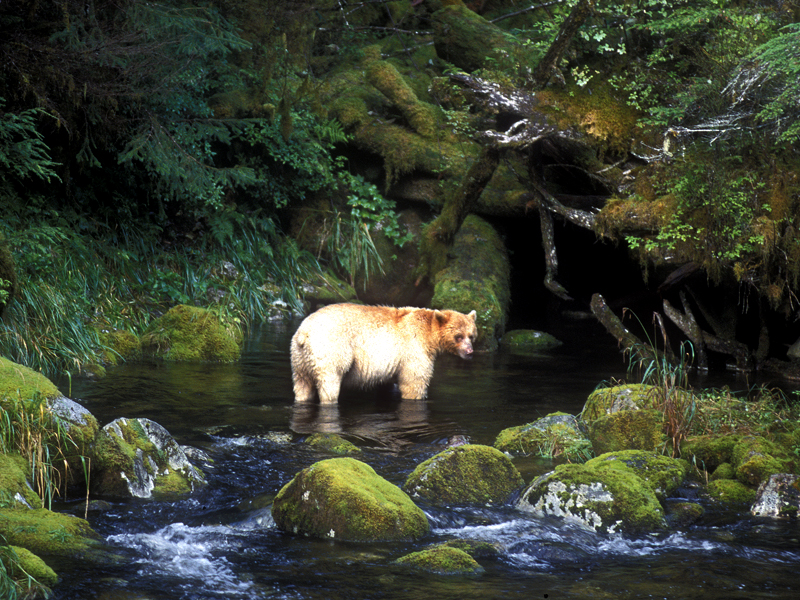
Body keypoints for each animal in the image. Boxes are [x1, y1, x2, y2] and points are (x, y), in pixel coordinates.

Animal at [292, 304, 476, 404]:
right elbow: (414, 381)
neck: (429, 335)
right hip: (331, 350)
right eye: (459, 336)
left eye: (472, 335)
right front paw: (417, 397)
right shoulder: (414, 349)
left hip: (300, 359)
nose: (470, 352)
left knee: (302, 386)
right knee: (329, 384)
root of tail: (304, 332)